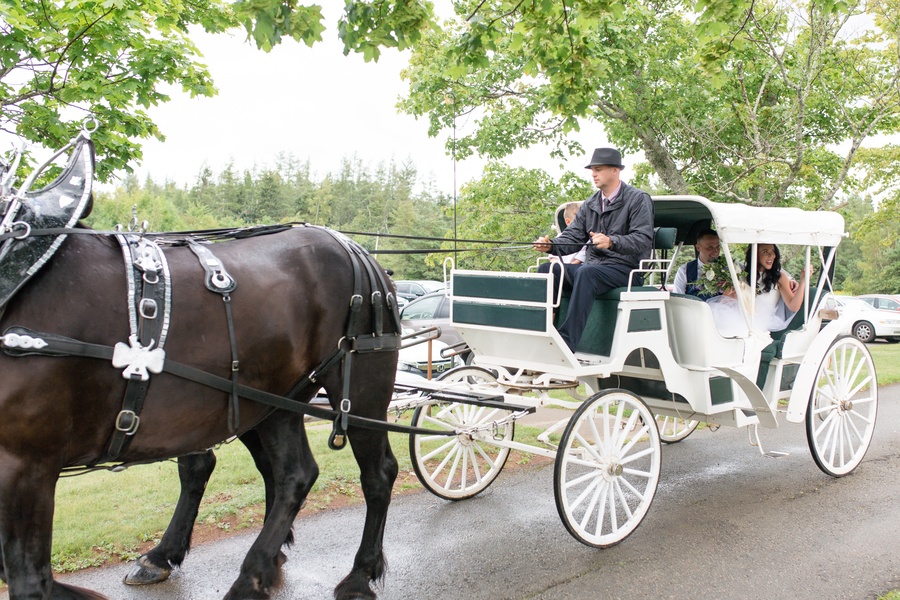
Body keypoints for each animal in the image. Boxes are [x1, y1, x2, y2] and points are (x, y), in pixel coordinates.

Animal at [0, 139, 400, 596]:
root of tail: (357, 251)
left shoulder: (25, 462)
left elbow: (30, 577)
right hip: (273, 401)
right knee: (292, 473)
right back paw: (258, 566)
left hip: (363, 392)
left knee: (377, 473)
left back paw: (354, 574)